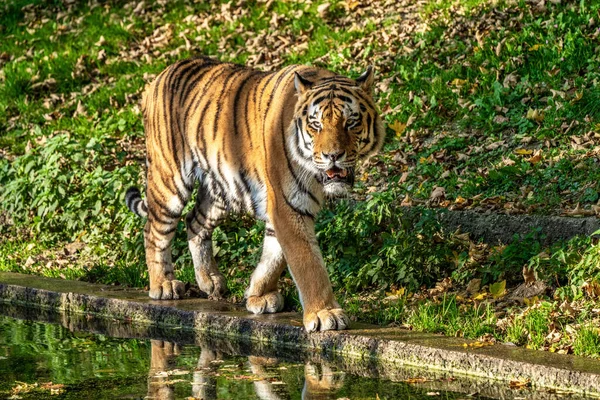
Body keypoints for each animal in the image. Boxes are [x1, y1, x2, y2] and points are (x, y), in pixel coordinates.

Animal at [126, 56, 386, 332]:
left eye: (351, 122)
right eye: (316, 125)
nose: (332, 156)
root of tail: (162, 73)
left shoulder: (283, 208)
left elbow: (274, 256)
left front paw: (258, 295)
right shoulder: (286, 205)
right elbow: (307, 263)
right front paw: (325, 314)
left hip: (221, 190)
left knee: (194, 221)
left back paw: (210, 280)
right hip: (170, 179)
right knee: (154, 230)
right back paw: (163, 284)